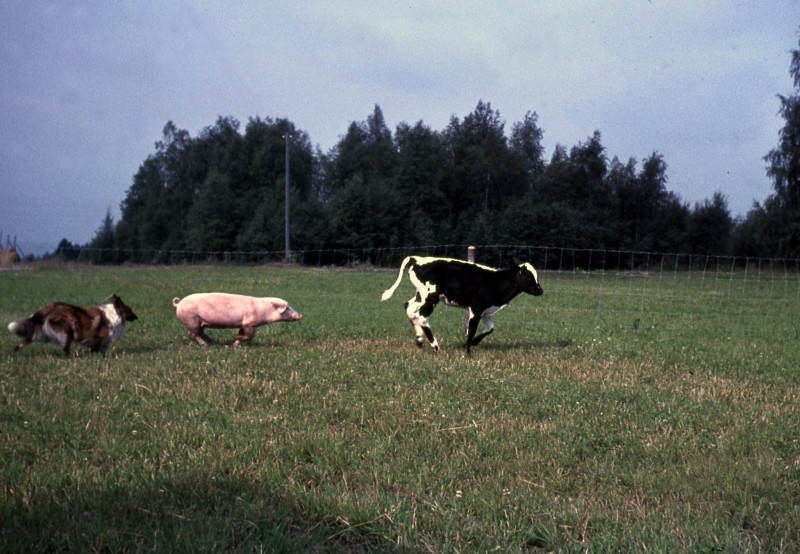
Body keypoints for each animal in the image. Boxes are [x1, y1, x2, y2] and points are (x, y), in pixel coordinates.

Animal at [7, 294, 138, 354]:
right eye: (130, 310)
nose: (137, 317)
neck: (115, 314)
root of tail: (46, 308)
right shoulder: (98, 338)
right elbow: (100, 348)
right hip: (67, 330)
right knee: (65, 348)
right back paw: (71, 358)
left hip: (43, 334)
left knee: (27, 339)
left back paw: (15, 351)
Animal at [173, 292, 302, 342]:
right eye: (288, 308)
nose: (300, 315)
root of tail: (178, 304)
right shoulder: (250, 323)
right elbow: (249, 336)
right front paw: (236, 338)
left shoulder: (244, 324)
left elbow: (243, 335)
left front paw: (235, 343)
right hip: (191, 320)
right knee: (192, 334)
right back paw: (205, 345)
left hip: (198, 322)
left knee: (199, 332)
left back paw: (213, 342)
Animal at [382, 256, 544, 352]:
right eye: (527, 275)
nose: (540, 290)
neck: (495, 281)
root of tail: (418, 259)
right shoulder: (476, 308)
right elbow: (471, 330)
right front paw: (467, 352)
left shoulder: (486, 310)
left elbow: (490, 328)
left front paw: (468, 344)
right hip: (430, 296)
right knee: (422, 317)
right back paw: (435, 346)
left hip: (420, 295)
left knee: (409, 308)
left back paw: (420, 340)